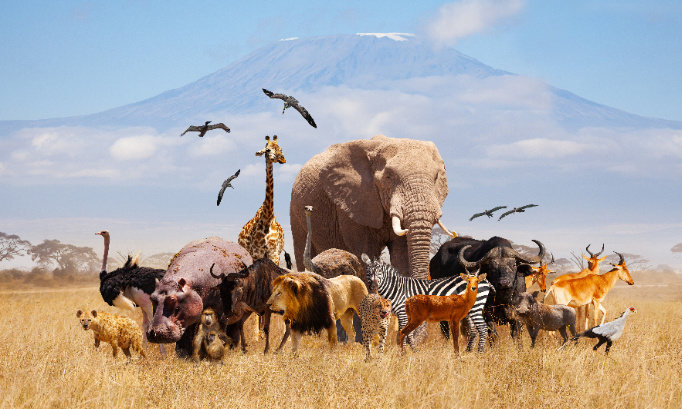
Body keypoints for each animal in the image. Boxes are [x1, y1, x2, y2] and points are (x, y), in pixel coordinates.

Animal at [238, 135, 286, 266]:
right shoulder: (256, 253)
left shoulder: (274, 254)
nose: (282, 159)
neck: (267, 218)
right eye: (268, 150)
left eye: (281, 148)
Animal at [286, 135, 452, 280]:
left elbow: (402, 254)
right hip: (295, 211)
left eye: (436, 177)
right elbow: (366, 252)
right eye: (388, 177)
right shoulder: (353, 202)